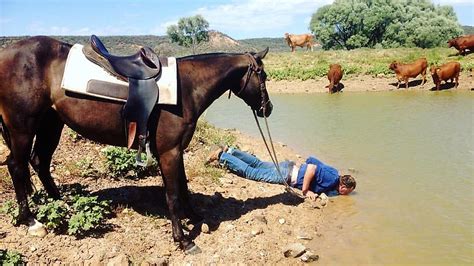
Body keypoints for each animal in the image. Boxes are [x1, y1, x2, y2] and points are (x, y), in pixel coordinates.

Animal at [0, 35, 272, 254]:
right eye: (264, 76)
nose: (267, 109)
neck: (188, 86)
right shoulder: (169, 151)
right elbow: (173, 194)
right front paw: (183, 240)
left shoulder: (175, 150)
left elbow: (183, 186)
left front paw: (194, 217)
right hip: (23, 127)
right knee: (17, 165)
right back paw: (31, 221)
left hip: (51, 123)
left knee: (40, 162)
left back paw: (64, 205)